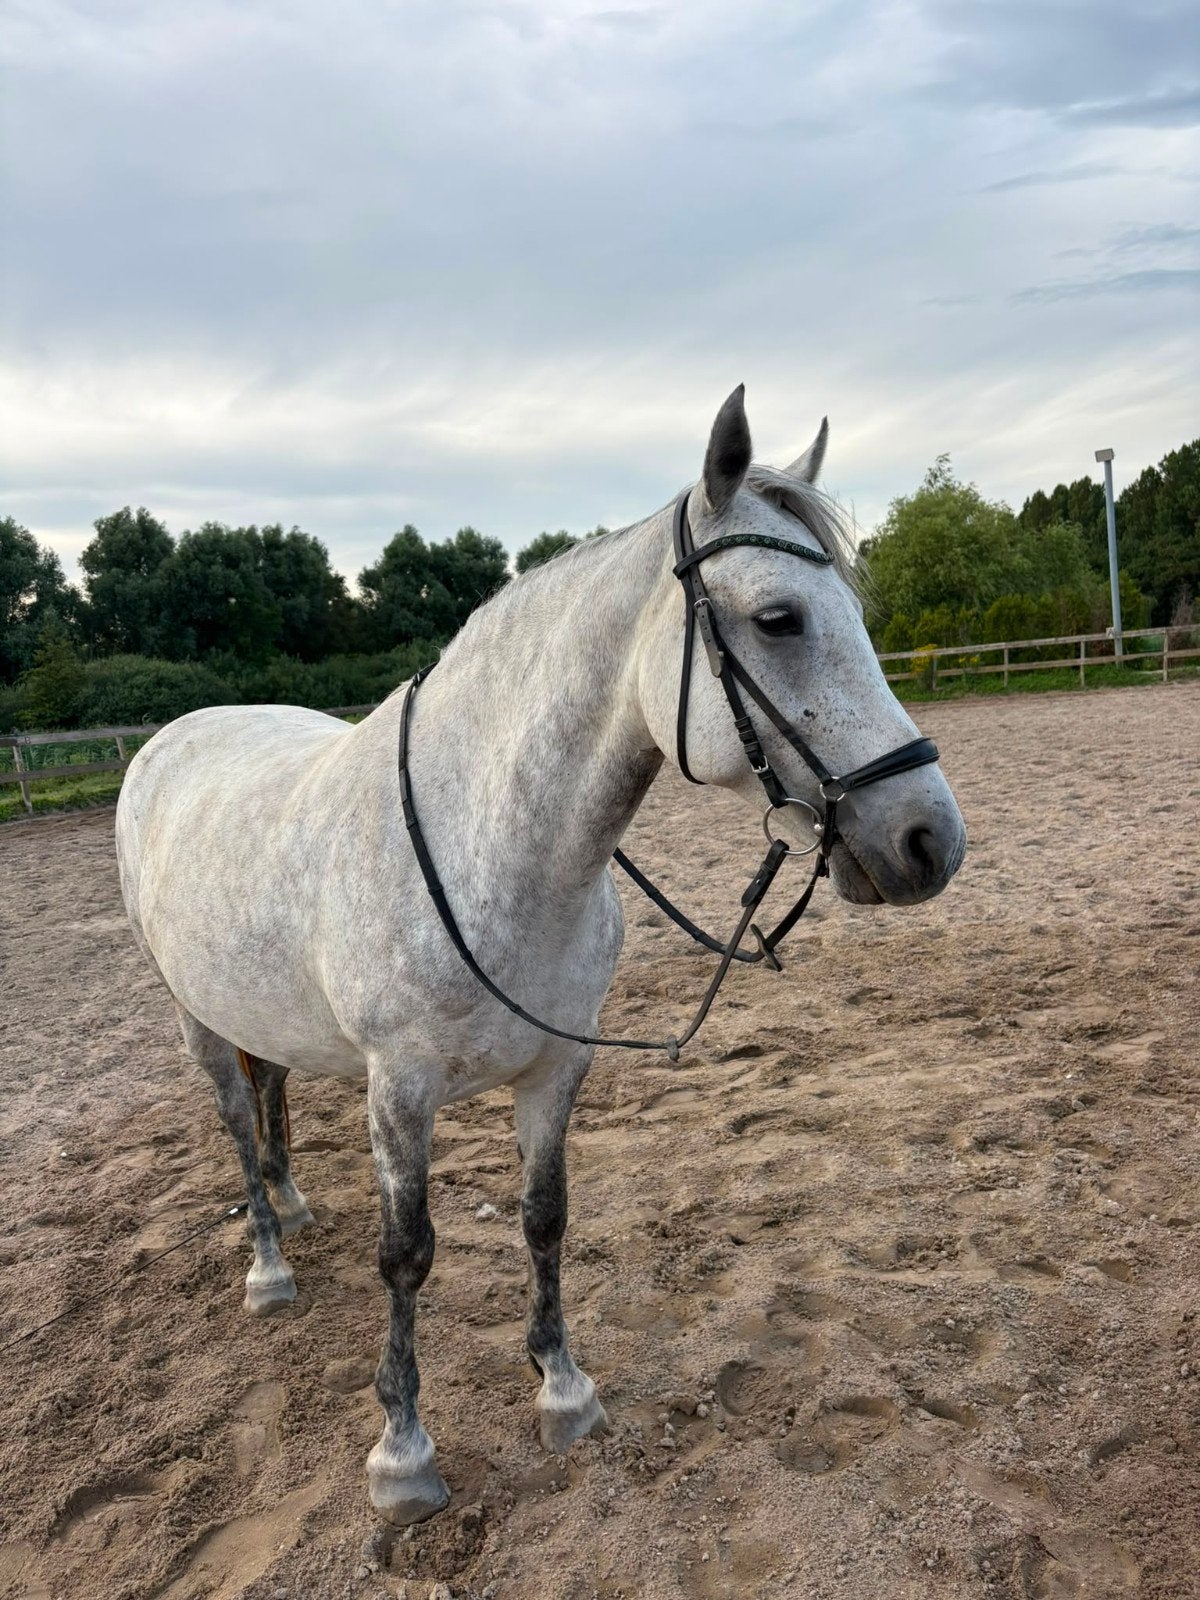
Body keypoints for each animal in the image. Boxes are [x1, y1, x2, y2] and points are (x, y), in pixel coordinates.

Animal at [115, 388, 966, 1524]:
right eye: (780, 618)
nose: (930, 840)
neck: (493, 844)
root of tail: (170, 738)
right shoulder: (400, 1088)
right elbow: (406, 1257)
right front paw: (403, 1452)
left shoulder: (558, 1067)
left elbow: (545, 1218)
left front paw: (563, 1389)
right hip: (195, 1020)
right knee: (237, 1131)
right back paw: (268, 1263)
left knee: (272, 1091)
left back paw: (294, 1211)